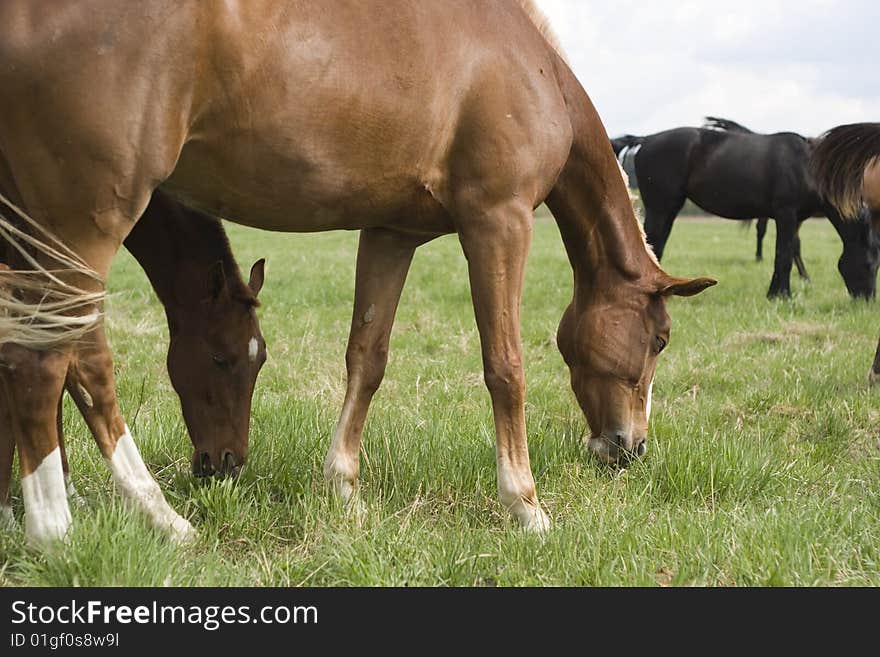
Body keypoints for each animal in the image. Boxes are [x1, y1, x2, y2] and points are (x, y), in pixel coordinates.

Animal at [612, 119, 880, 298]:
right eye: (869, 265)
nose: (865, 301)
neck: (805, 166)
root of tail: (645, 139)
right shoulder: (786, 214)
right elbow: (783, 255)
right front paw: (780, 295)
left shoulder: (794, 219)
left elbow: (790, 251)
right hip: (660, 208)